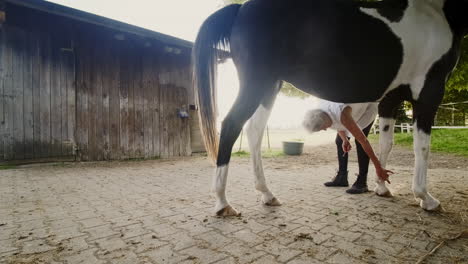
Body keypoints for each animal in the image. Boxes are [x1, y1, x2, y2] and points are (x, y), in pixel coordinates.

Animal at [191, 0, 468, 216]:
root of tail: (240, 9)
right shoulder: (428, 94)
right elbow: (422, 147)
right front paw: (426, 198)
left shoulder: (390, 100)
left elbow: (385, 144)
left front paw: (382, 186)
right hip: (256, 83)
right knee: (231, 125)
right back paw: (223, 203)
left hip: (269, 86)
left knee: (254, 132)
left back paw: (267, 194)